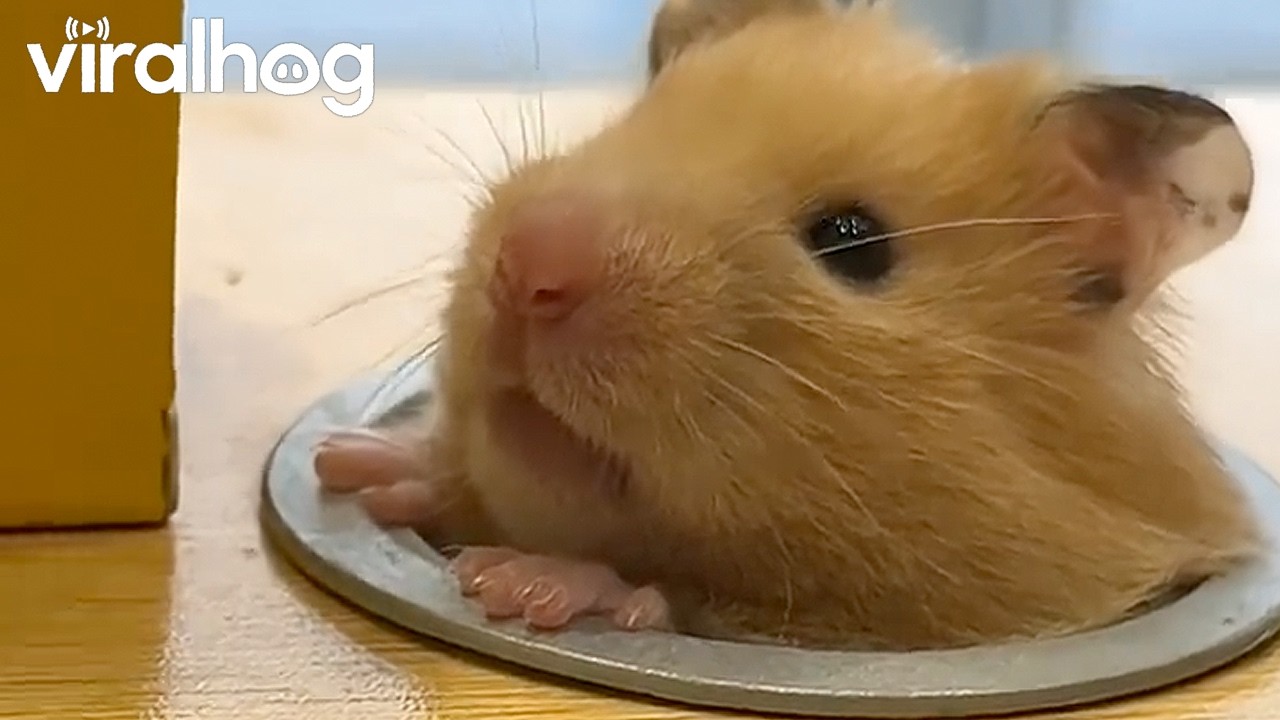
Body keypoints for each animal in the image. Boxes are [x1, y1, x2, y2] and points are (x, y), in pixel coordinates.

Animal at [313, 0, 1262, 651]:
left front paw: (520, 582)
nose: (527, 267)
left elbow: (674, 598)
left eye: (852, 240)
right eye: (626, 125)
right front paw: (361, 466)